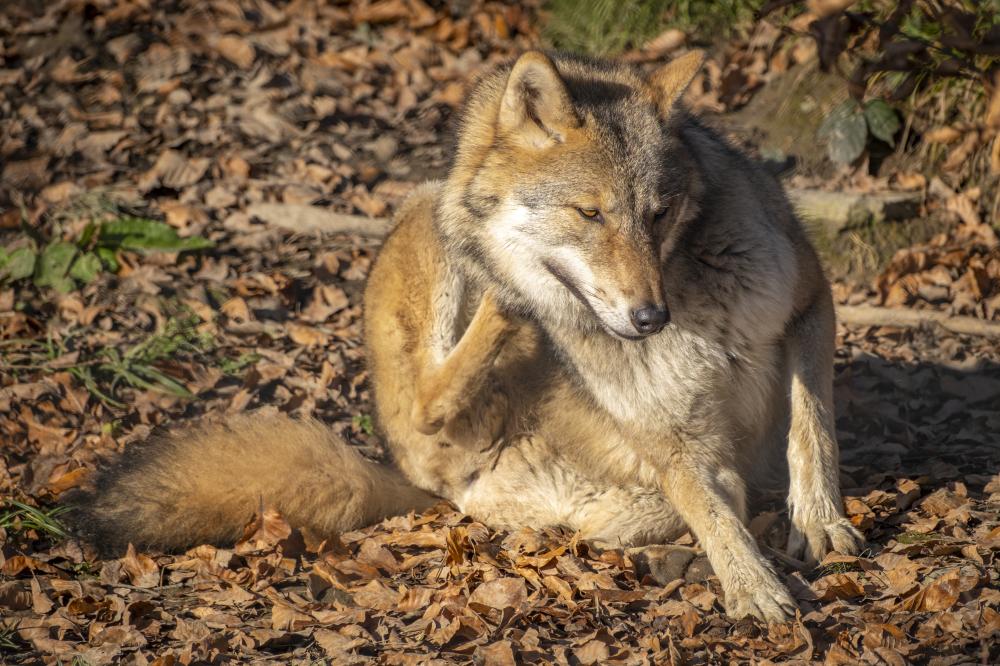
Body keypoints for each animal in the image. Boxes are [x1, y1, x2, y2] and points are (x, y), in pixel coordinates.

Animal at [67, 51, 862, 622]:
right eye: (590, 213)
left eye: (659, 213)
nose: (649, 319)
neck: (690, 296)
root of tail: (406, 481)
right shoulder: (668, 434)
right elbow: (717, 507)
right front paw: (751, 583)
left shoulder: (810, 301)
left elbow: (812, 423)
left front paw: (819, 523)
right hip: (433, 232)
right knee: (433, 394)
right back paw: (508, 301)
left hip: (598, 500)